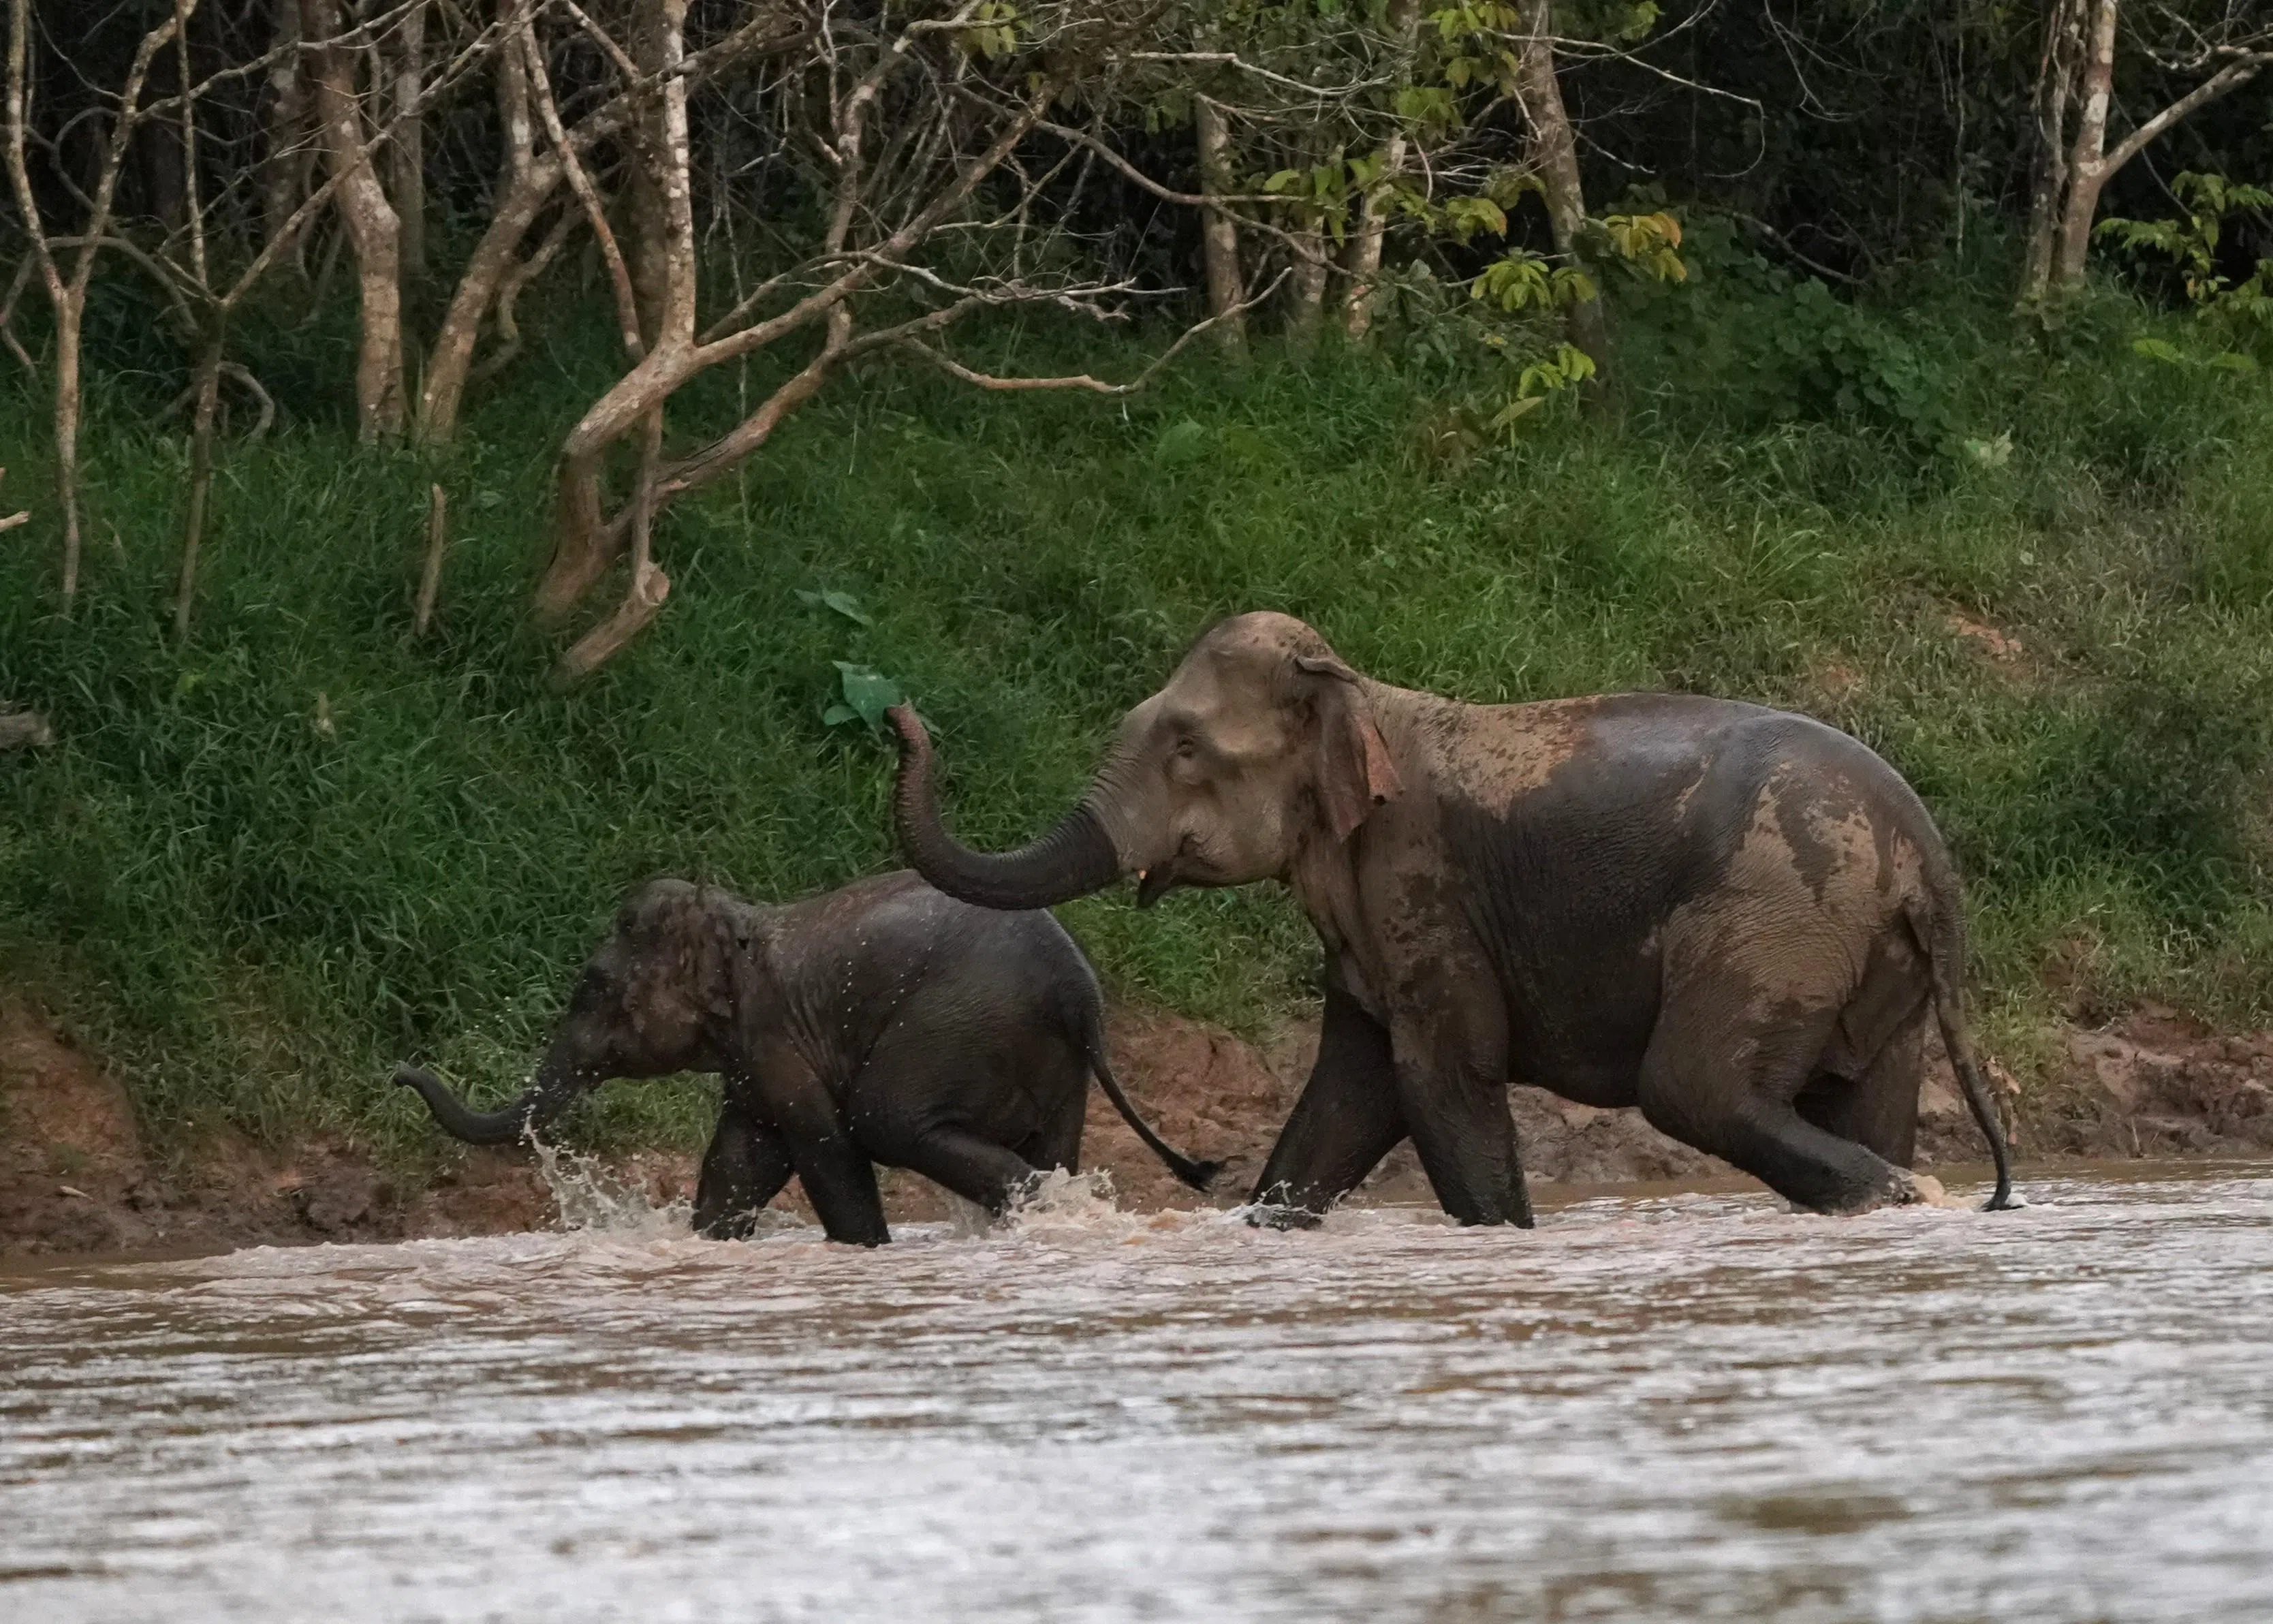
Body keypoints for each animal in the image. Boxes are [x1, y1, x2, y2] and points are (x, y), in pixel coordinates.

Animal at [396, 871, 1219, 1244]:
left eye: (591, 988)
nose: (402, 1069)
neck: (732, 919)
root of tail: (1081, 994)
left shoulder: (778, 1040)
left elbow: (827, 1147)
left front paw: (864, 1249)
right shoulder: (754, 1066)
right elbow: (736, 1165)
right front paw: (711, 1240)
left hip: (957, 1022)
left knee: (888, 1120)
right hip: (1053, 1066)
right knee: (1051, 1151)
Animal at [886, 610, 2014, 1229]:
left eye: (1186, 750)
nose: (902, 719)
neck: (1363, 696)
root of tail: (1925, 857)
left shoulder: (1421, 890)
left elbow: (1439, 1082)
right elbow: (1346, 1102)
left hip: (1781, 916)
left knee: (1692, 1090)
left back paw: (1907, 1197)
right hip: (1866, 959)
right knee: (1858, 1101)